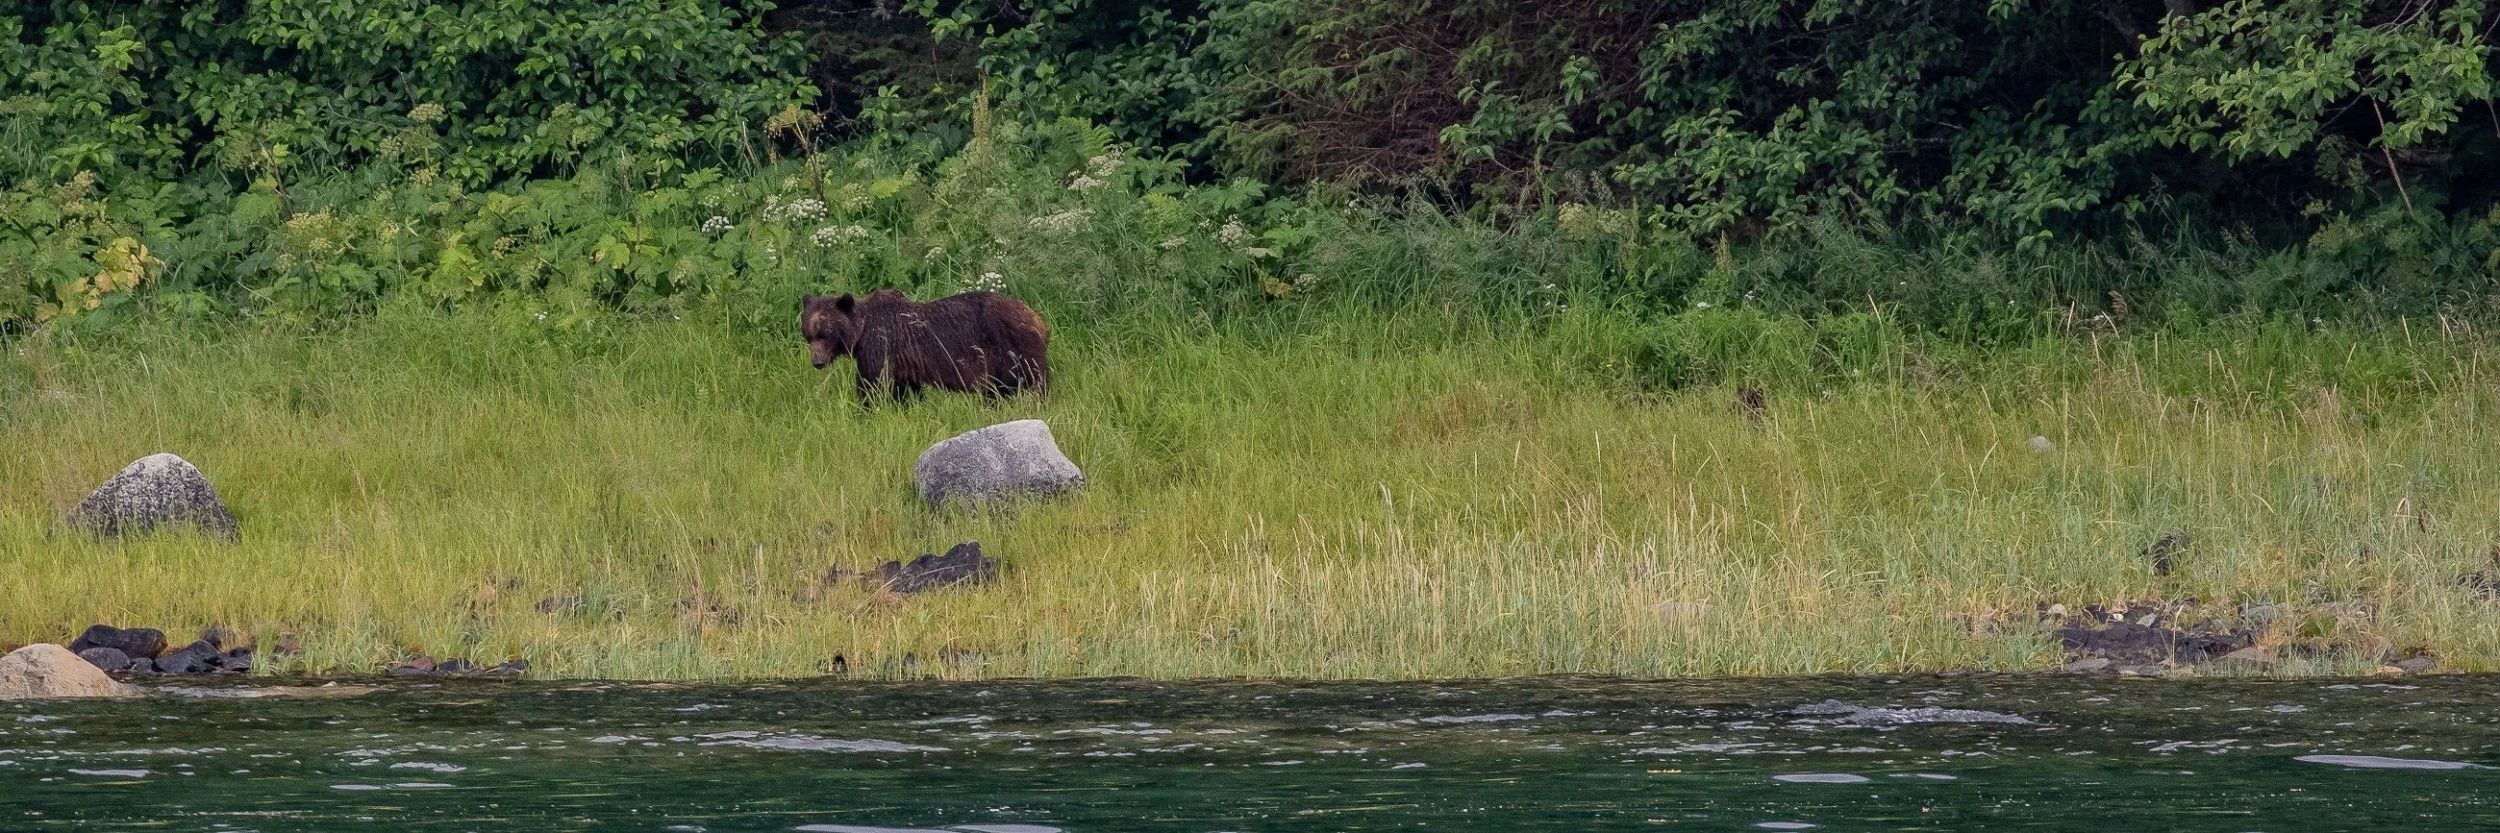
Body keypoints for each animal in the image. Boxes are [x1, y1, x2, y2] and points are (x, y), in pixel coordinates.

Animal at [801, 289, 1051, 402]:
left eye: (825, 333)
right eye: (808, 336)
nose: (817, 362)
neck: (862, 329)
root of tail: (1037, 319)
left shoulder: (879, 346)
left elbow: (871, 386)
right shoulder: (904, 365)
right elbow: (906, 392)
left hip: (1010, 351)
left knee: (1034, 382)